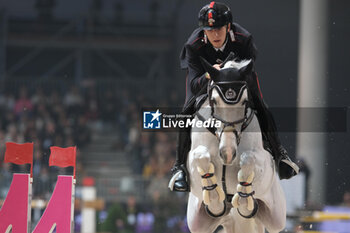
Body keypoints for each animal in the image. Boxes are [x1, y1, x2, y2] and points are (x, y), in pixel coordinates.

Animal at [186, 57, 288, 233]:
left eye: (245, 102)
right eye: (214, 101)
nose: (228, 153)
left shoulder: (263, 161)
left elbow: (248, 159)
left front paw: (242, 199)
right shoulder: (193, 159)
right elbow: (201, 157)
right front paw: (215, 200)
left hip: (276, 215)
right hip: (197, 222)